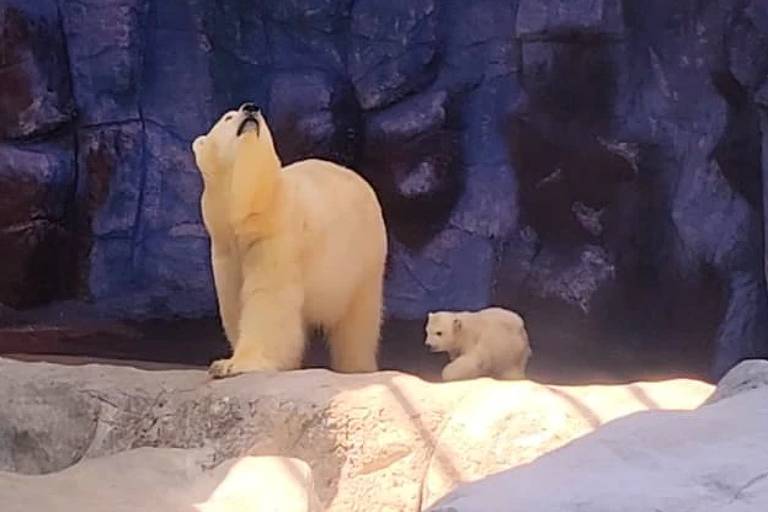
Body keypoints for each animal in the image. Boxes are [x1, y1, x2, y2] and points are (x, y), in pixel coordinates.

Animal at [191, 102, 384, 378]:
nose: (251, 108)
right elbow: (234, 301)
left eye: (262, 120)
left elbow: (268, 298)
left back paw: (357, 368)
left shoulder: (277, 236)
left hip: (361, 260)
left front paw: (233, 364)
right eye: (227, 117)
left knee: (357, 322)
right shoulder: (225, 248)